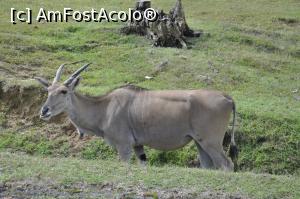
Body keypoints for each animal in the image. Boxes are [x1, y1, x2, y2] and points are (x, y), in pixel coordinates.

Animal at [35, 63, 238, 171]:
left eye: (63, 91)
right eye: (48, 90)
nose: (44, 111)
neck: (105, 107)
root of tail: (227, 97)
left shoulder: (123, 146)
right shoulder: (138, 147)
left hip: (211, 142)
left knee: (227, 164)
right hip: (200, 143)